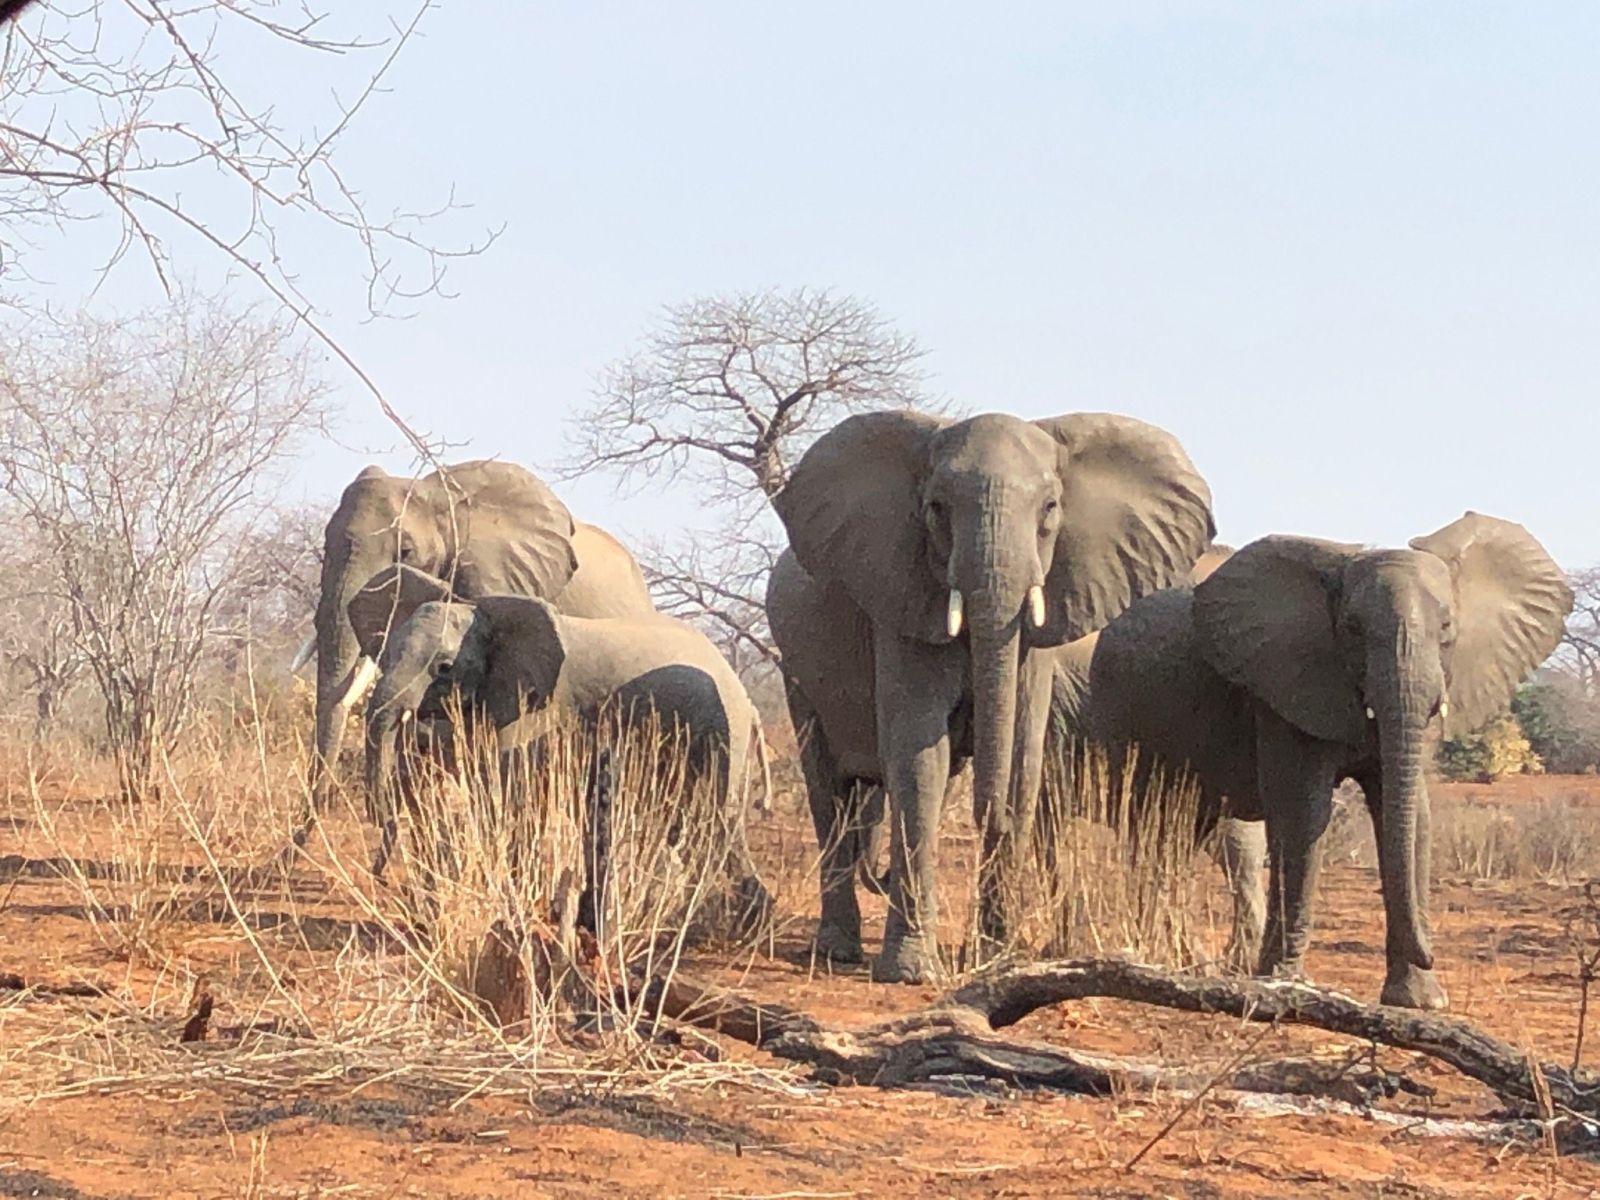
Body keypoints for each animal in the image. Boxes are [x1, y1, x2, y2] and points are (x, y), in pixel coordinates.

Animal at [355, 565, 773, 930]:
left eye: (444, 667)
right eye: (385, 654)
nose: (383, 880)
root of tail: (750, 704)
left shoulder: (535, 709)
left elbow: (511, 801)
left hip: (721, 733)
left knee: (711, 824)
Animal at [768, 410, 1215, 982]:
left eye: (1050, 509)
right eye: (936, 509)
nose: (989, 813)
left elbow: (1023, 756)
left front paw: (996, 961)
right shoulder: (903, 599)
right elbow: (920, 759)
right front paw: (911, 973)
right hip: (794, 669)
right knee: (827, 790)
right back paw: (837, 950)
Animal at [1085, 511, 1572, 1009]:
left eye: (1447, 628)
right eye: (1352, 628)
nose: (1433, 952)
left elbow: (1410, 818)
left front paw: (1419, 1003)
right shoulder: (1285, 686)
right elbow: (1304, 814)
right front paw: (1283, 984)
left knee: (1181, 833)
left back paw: (1181, 962)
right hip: (1121, 714)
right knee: (1152, 828)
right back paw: (1152, 957)